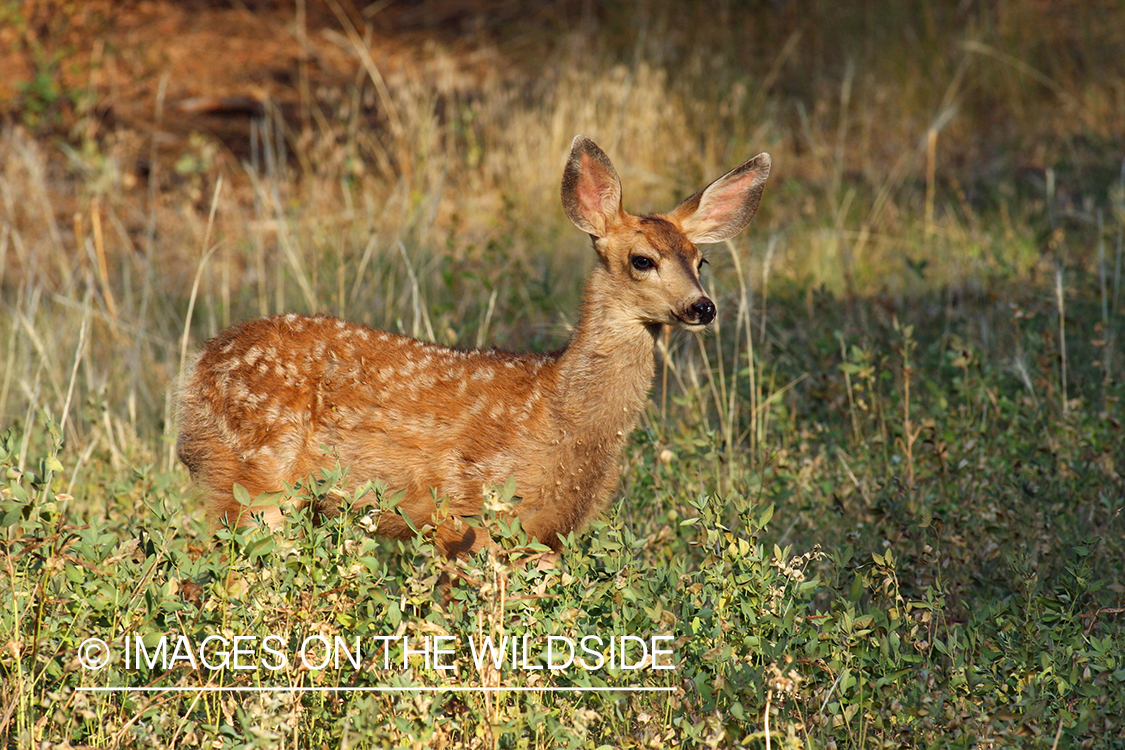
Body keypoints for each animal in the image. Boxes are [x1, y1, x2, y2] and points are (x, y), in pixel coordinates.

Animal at [176, 135, 770, 557]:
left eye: (701, 261)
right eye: (642, 260)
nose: (702, 307)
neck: (558, 415)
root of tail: (199, 367)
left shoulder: (548, 532)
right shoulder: (471, 510)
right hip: (257, 475)